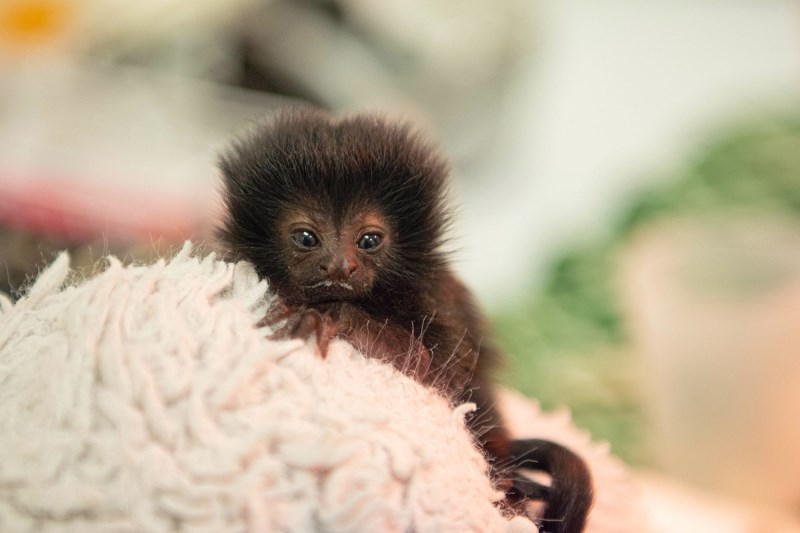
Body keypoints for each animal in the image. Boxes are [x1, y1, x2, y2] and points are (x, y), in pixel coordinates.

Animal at [216, 109, 592, 532]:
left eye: (368, 240)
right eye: (306, 238)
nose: (339, 266)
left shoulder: (434, 295)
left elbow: (432, 374)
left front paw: (325, 315)